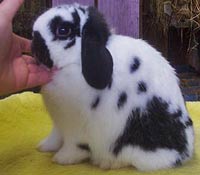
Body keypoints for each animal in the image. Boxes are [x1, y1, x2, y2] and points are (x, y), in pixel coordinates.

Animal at [31, 3, 194, 172]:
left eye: (63, 30)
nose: (34, 44)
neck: (75, 63)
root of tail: (185, 152)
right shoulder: (59, 124)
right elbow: (55, 137)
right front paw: (43, 147)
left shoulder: (75, 130)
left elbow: (74, 146)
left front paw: (61, 159)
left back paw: (107, 163)